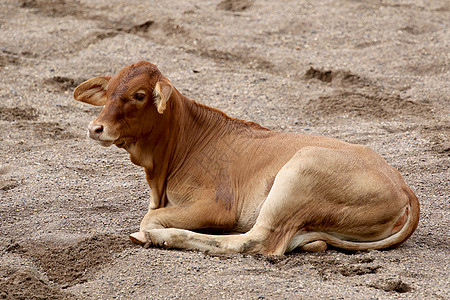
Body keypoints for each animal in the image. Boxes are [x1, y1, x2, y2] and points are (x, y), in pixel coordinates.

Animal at [72, 61, 420, 255]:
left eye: (140, 95)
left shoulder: (215, 205)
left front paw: (149, 231)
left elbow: (149, 219)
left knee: (256, 243)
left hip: (298, 173)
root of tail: (403, 187)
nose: (95, 128)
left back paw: (163, 238)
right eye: (109, 91)